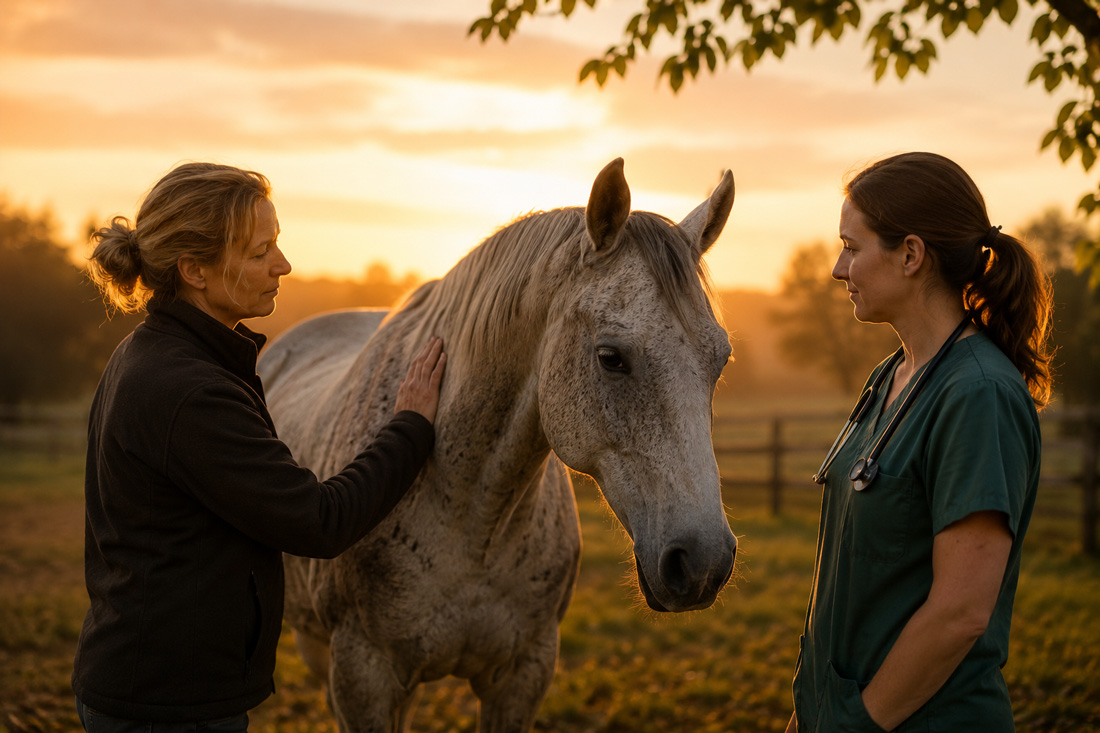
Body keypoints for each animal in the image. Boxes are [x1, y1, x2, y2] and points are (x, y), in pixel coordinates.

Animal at [257, 158, 738, 732]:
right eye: (610, 357)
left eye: (721, 361)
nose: (704, 563)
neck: (472, 520)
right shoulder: (362, 675)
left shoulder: (522, 675)